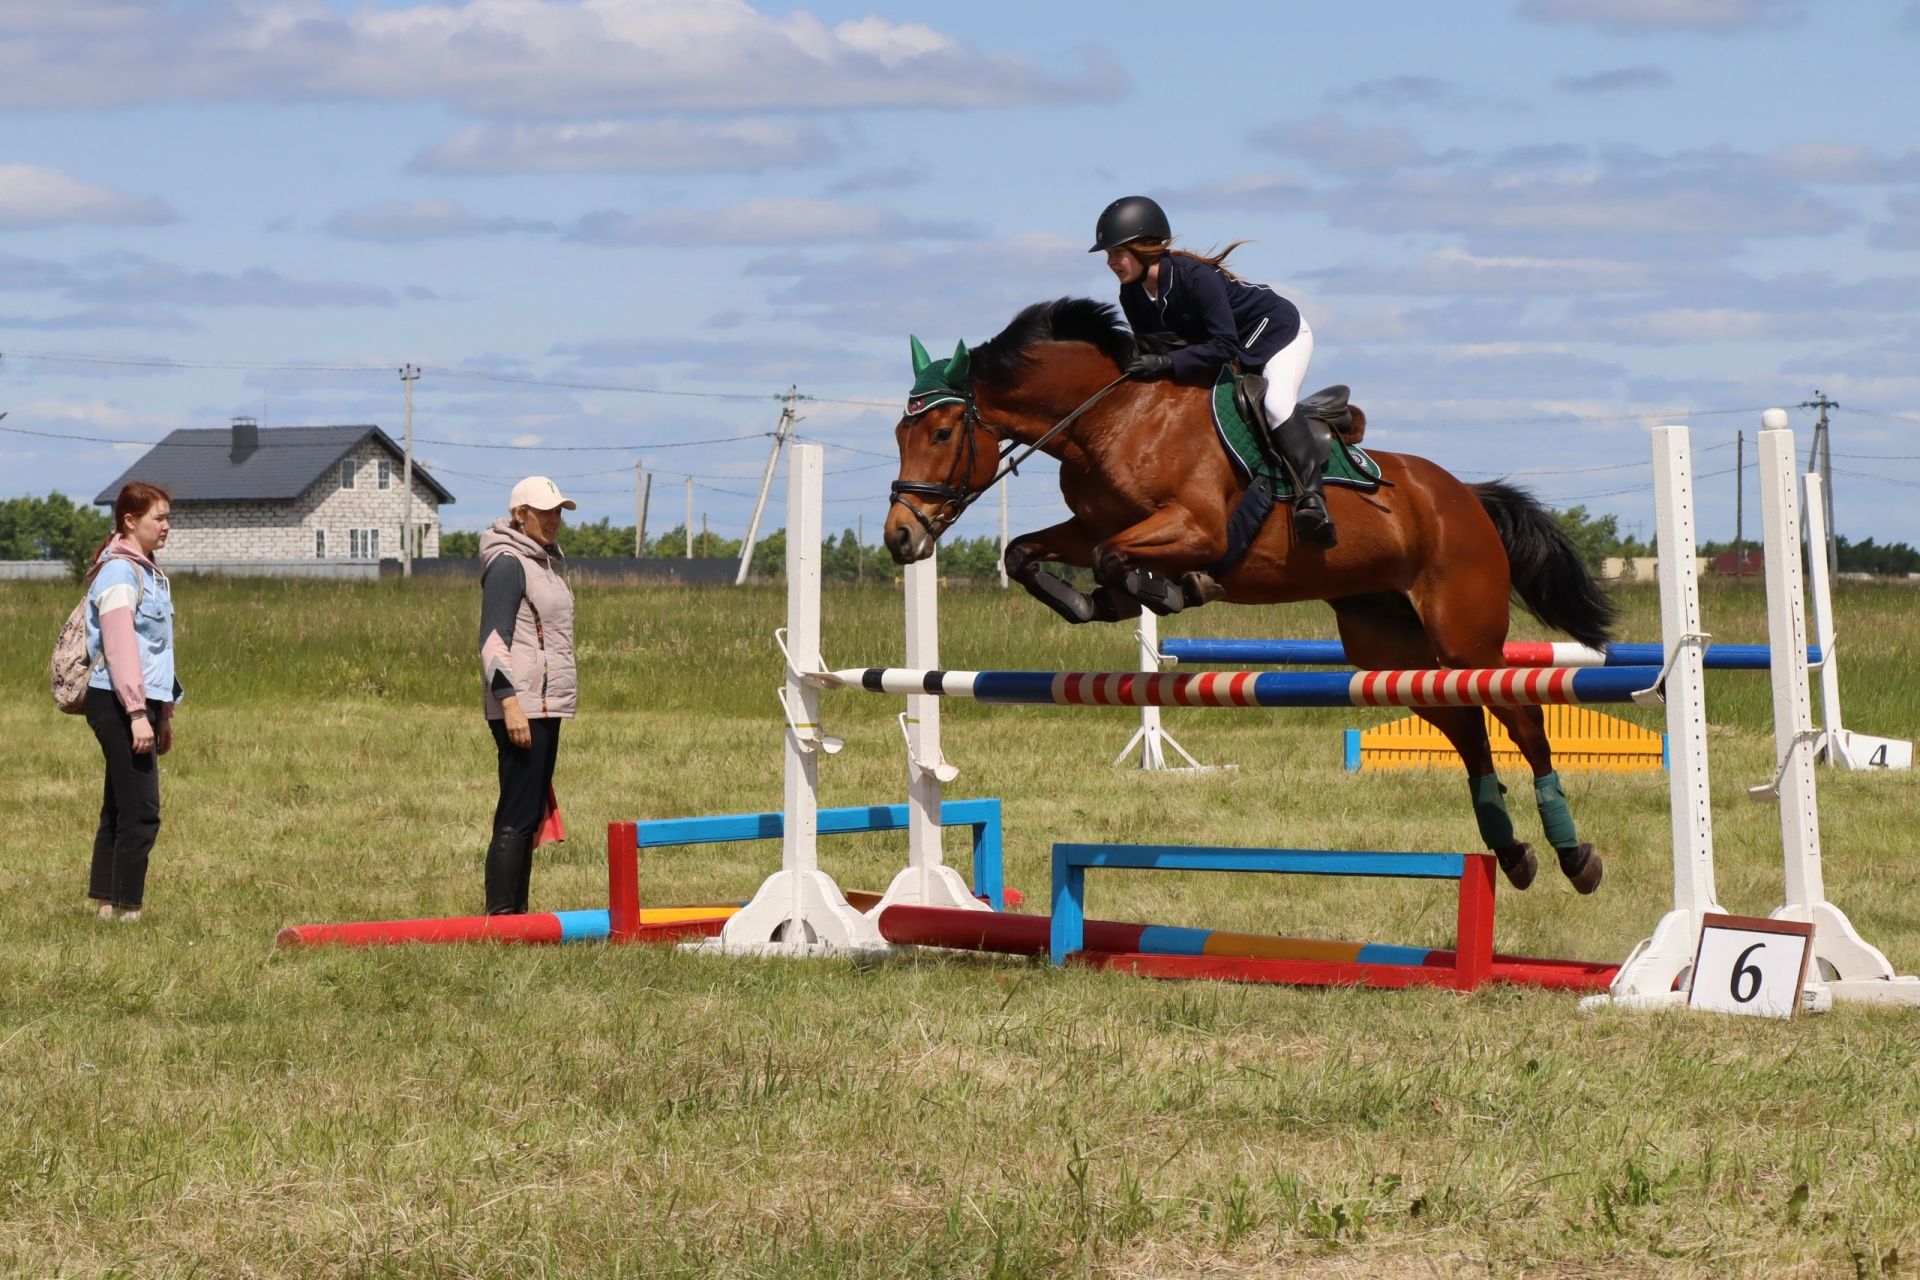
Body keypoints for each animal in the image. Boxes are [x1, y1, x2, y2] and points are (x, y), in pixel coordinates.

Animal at [883, 295, 1620, 898]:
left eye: (942, 434)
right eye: (900, 433)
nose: (900, 536)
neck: (1113, 420)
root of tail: (1464, 494)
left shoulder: (1196, 528)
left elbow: (1121, 556)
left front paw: (1161, 589)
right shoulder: (1089, 526)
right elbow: (1028, 552)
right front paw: (1094, 602)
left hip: (1466, 638)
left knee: (1523, 719)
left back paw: (1574, 856)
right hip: (1387, 645)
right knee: (1467, 726)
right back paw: (1511, 851)